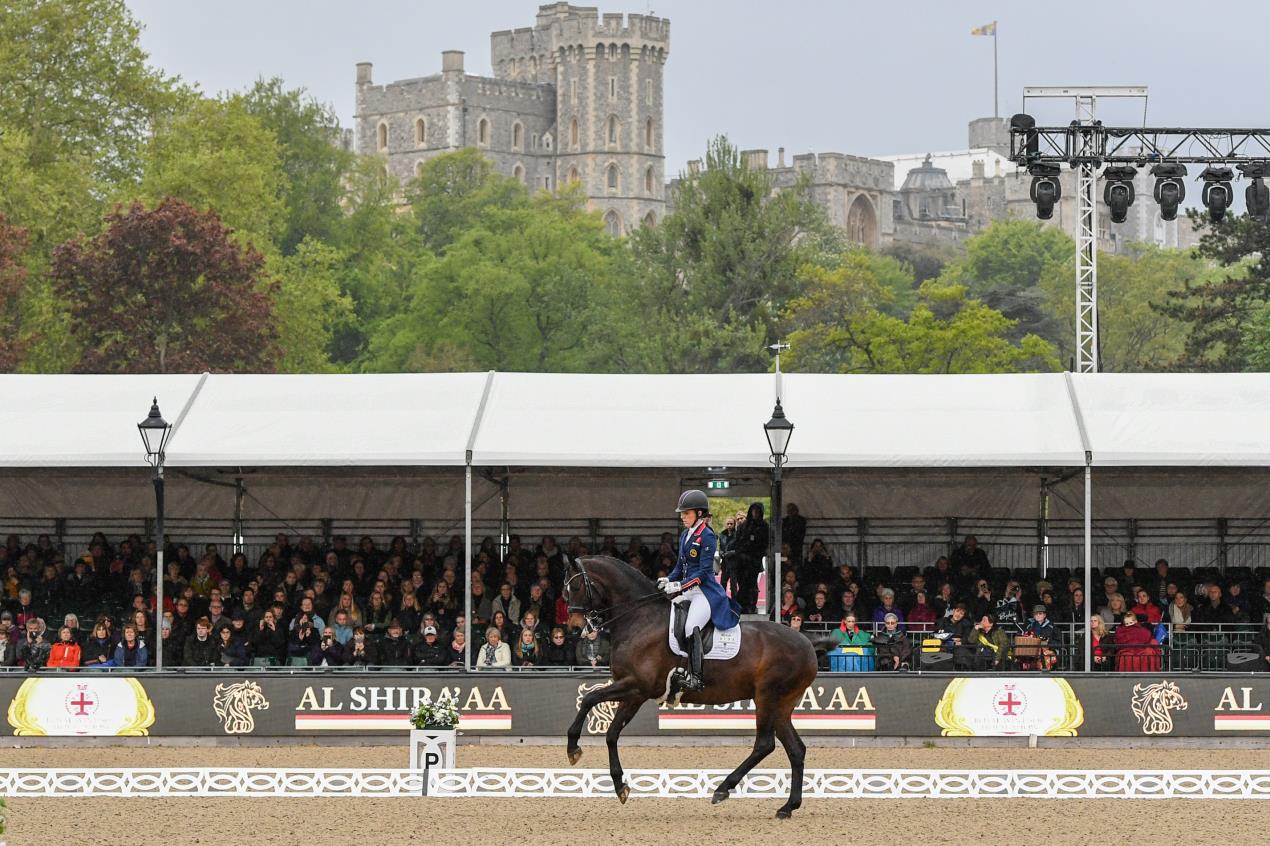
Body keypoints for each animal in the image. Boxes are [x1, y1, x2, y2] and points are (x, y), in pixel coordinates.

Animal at [563, 553, 817, 818]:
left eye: (576, 586)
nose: (574, 627)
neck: (639, 619)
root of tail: (807, 644)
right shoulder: (631, 692)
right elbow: (607, 726)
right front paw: (616, 782)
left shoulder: (637, 687)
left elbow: (593, 705)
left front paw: (576, 751)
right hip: (781, 704)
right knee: (795, 749)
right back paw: (788, 806)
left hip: (768, 697)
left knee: (764, 744)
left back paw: (723, 789)